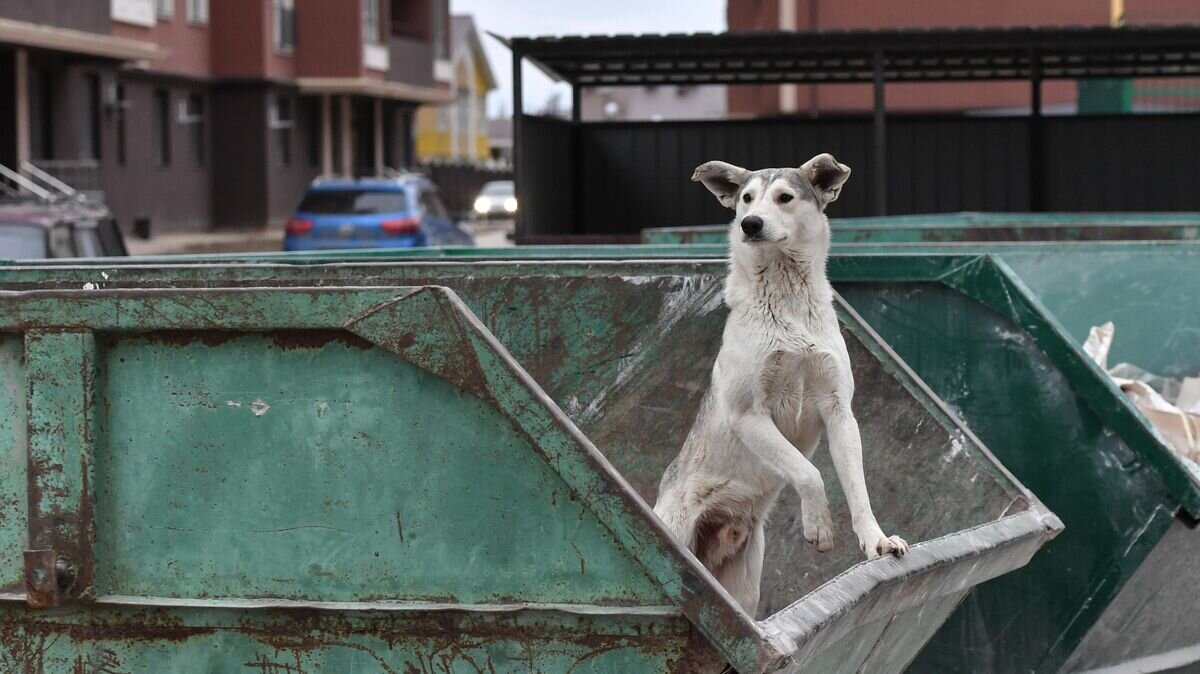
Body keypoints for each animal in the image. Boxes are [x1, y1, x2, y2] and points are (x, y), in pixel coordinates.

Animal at [657, 153, 907, 614]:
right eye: (746, 198)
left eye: (785, 198)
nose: (750, 224)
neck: (787, 300)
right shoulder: (748, 416)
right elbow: (809, 473)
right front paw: (819, 526)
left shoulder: (839, 411)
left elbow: (857, 487)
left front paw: (876, 541)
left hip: (744, 581)